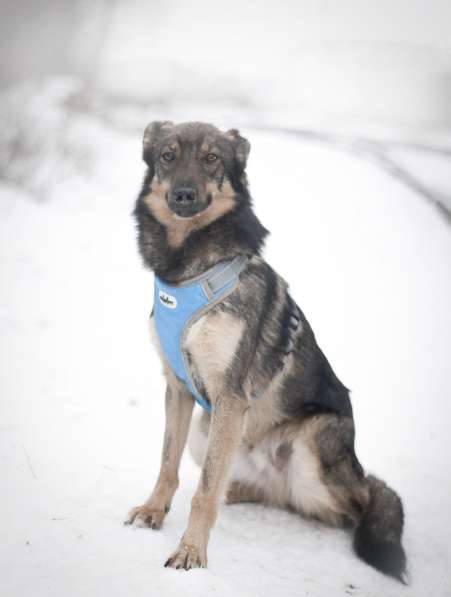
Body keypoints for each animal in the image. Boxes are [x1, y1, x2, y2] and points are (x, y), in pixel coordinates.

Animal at [125, 121, 408, 584]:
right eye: (168, 156)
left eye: (211, 158)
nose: (183, 195)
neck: (187, 270)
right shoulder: (180, 390)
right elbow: (168, 464)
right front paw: (154, 511)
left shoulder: (229, 395)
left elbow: (203, 491)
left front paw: (190, 552)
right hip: (207, 431)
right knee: (259, 490)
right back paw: (240, 491)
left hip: (310, 446)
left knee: (362, 501)